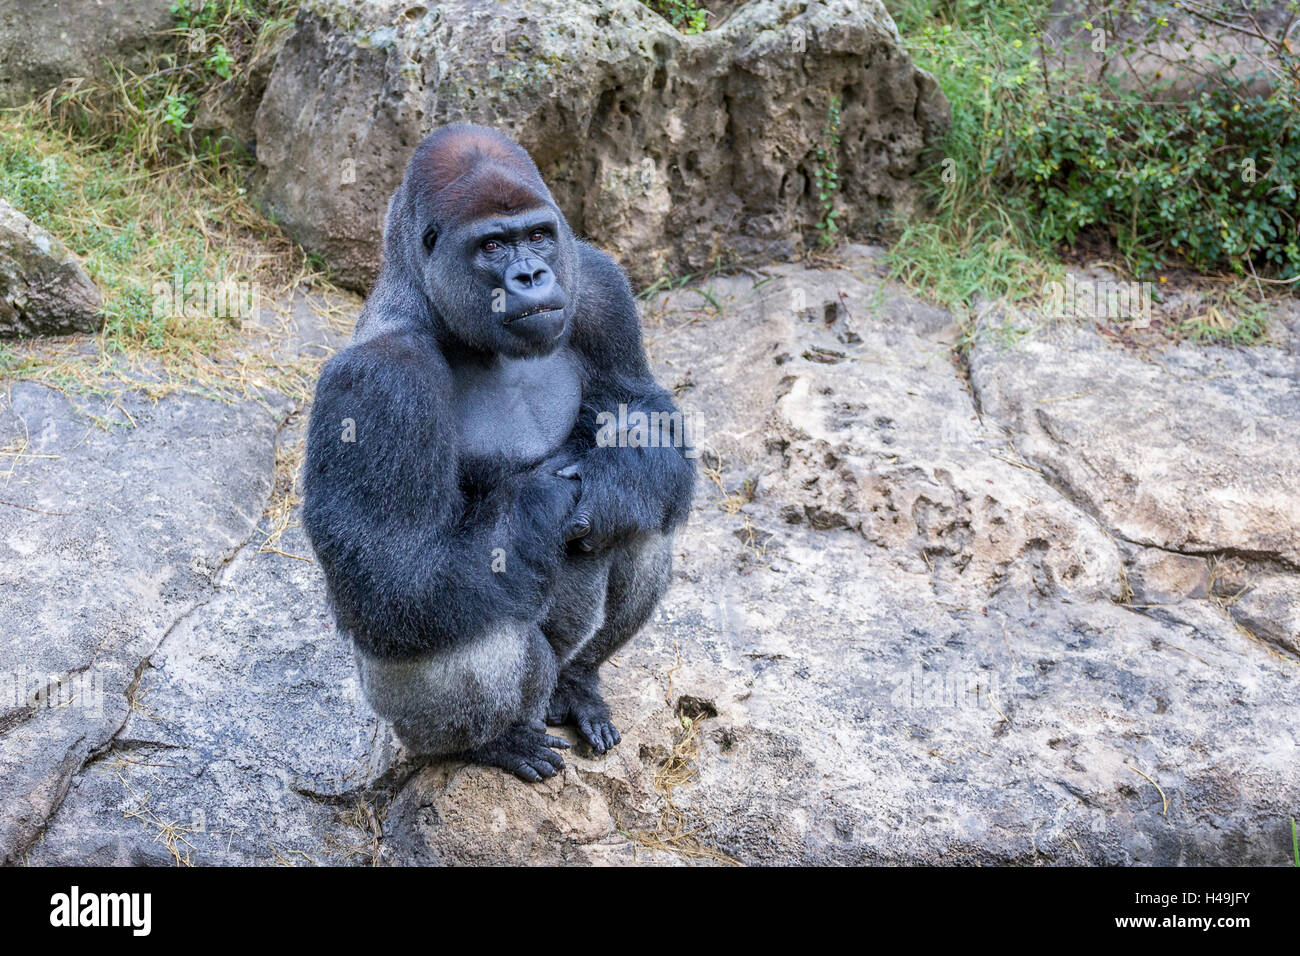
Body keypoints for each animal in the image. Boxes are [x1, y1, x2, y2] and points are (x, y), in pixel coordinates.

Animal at [302, 125, 695, 781]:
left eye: (538, 236)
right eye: (491, 246)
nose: (532, 276)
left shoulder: (598, 282)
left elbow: (645, 415)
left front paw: (613, 479)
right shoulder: (379, 382)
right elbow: (389, 574)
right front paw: (542, 500)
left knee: (644, 524)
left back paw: (578, 682)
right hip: (399, 716)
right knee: (465, 626)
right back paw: (489, 744)